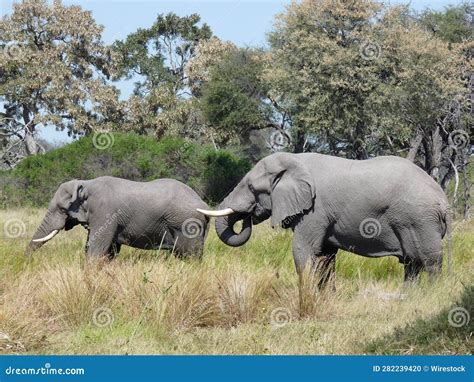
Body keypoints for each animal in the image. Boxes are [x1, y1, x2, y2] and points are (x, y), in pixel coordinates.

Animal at [26, 178, 209, 258]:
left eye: (62, 209)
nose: (26, 260)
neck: (86, 184)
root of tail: (203, 203)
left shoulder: (105, 213)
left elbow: (97, 247)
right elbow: (110, 250)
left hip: (186, 224)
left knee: (189, 255)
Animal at [197, 152, 452, 286]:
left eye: (251, 187)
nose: (247, 217)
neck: (294, 161)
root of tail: (444, 201)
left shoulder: (315, 210)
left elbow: (303, 249)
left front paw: (305, 295)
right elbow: (325, 255)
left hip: (420, 220)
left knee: (429, 261)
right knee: (412, 264)